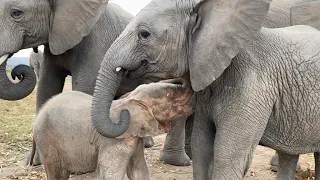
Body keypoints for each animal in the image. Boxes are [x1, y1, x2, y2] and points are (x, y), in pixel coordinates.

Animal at [30, 79, 192, 180]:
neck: (128, 100)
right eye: (169, 95)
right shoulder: (113, 141)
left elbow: (139, 171)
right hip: (47, 138)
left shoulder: (135, 139)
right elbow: (111, 173)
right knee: (57, 173)